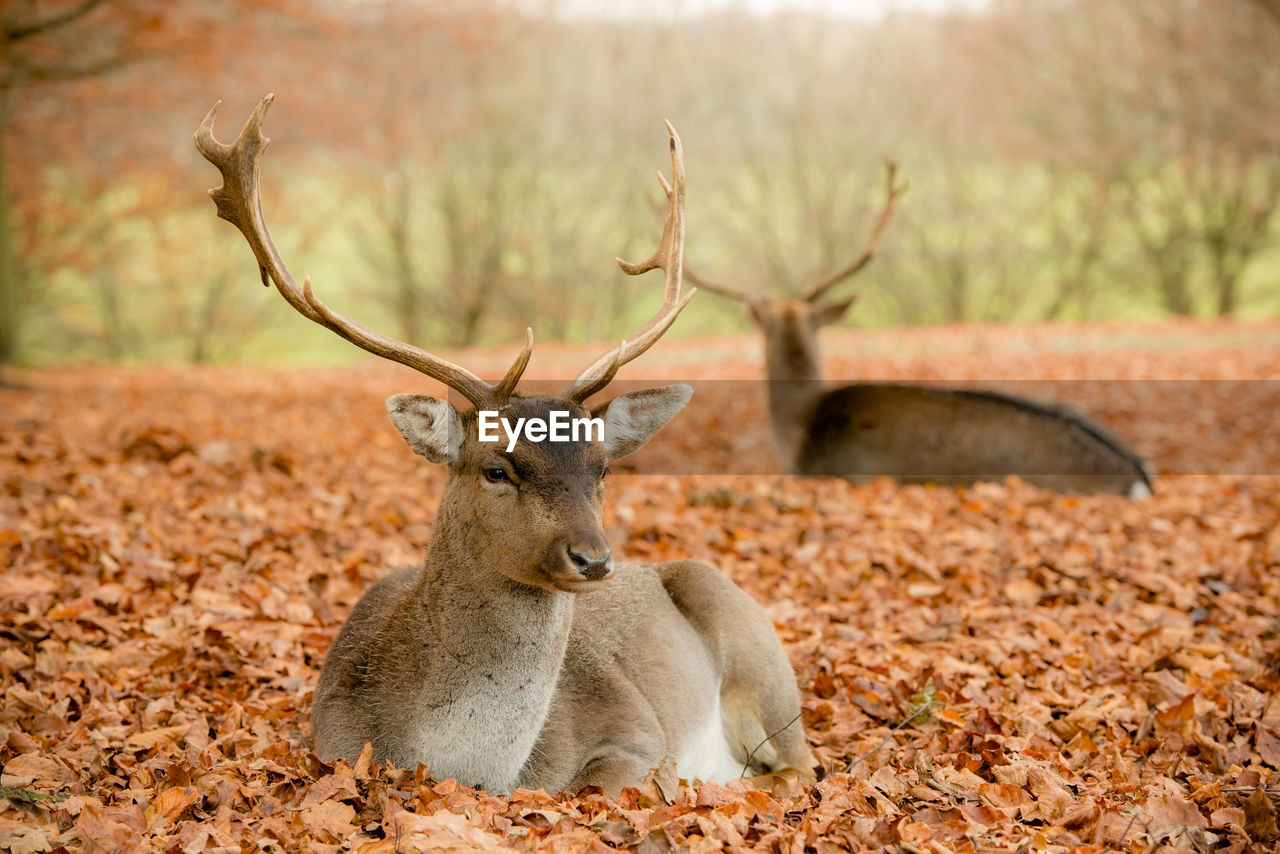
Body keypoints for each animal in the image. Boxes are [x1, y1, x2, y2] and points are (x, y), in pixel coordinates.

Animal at [197, 96, 819, 798]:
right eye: (496, 468)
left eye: (602, 468)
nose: (593, 560)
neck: (472, 768)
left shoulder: (638, 734)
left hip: (761, 660)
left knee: (801, 766)